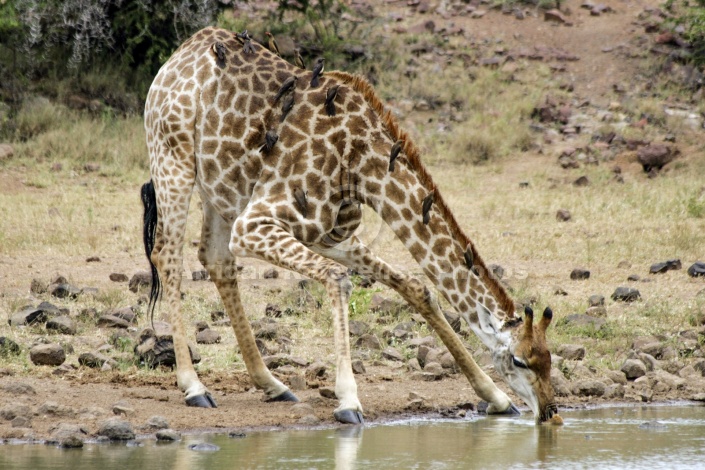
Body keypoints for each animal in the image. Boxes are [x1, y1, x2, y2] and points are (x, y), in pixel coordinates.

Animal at [142, 27, 560, 428]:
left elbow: (417, 288)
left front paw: (496, 397)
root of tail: (182, 52)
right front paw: (348, 401)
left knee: (215, 259)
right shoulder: (255, 223)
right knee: (168, 256)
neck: (359, 165)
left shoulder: (329, 235)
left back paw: (272, 384)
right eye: (520, 360)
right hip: (172, 157)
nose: (551, 411)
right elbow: (338, 278)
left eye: (549, 358)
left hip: (220, 186)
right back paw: (194, 387)